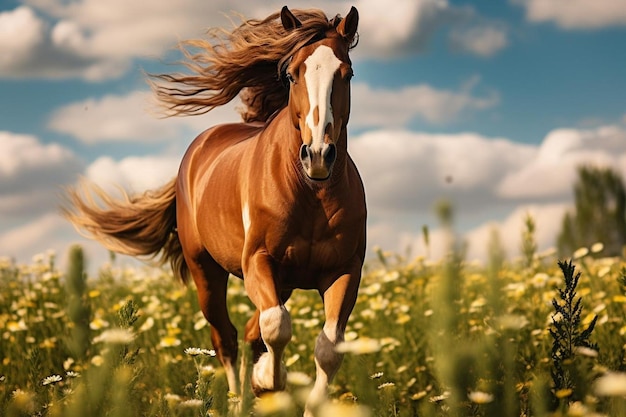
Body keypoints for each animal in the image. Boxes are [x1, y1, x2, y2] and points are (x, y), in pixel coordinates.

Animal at [62, 5, 366, 412]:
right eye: (292, 73)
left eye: (346, 73)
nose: (318, 155)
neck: (309, 191)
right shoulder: (258, 261)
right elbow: (276, 326)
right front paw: (270, 380)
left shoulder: (344, 271)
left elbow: (327, 348)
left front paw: (279, 387)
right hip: (206, 272)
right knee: (227, 337)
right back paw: (239, 398)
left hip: (282, 282)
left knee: (252, 332)